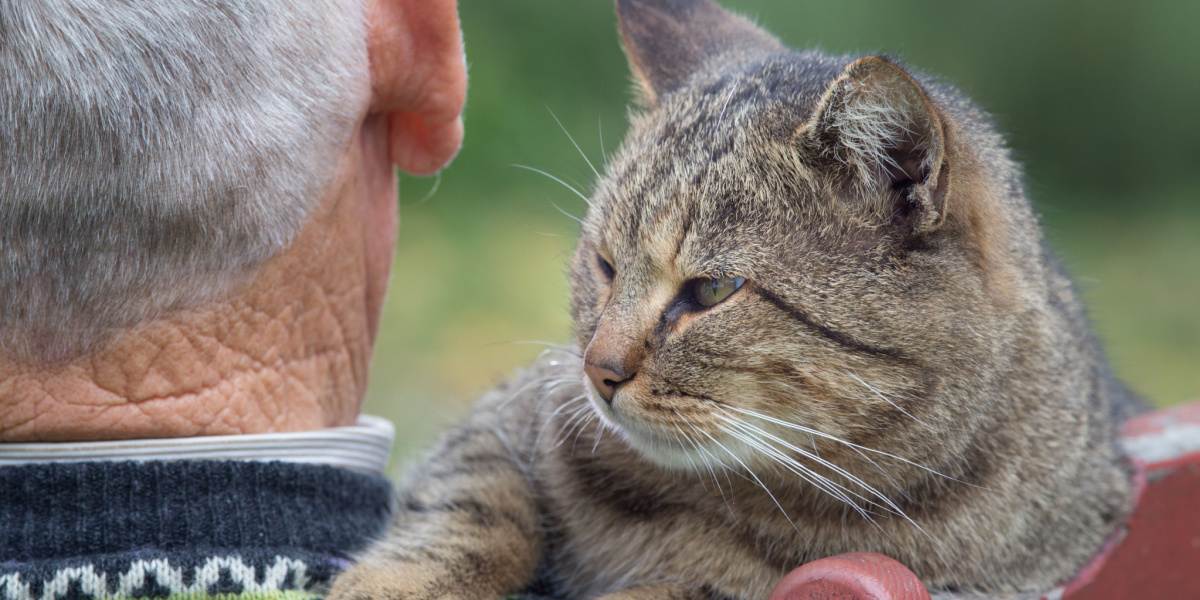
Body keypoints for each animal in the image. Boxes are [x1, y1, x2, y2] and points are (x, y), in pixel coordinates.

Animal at [328, 2, 1142, 597]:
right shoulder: (510, 418)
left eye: (713, 290)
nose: (598, 371)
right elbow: (469, 510)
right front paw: (392, 586)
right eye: (605, 266)